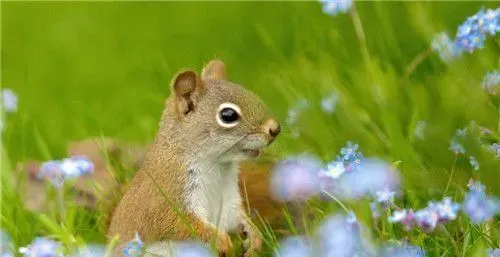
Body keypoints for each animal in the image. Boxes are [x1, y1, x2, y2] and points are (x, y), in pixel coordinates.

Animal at [108, 59, 282, 255]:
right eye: (228, 115)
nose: (275, 129)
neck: (218, 167)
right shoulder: (168, 195)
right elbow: (177, 223)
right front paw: (221, 241)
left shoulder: (229, 200)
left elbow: (236, 217)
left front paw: (254, 237)